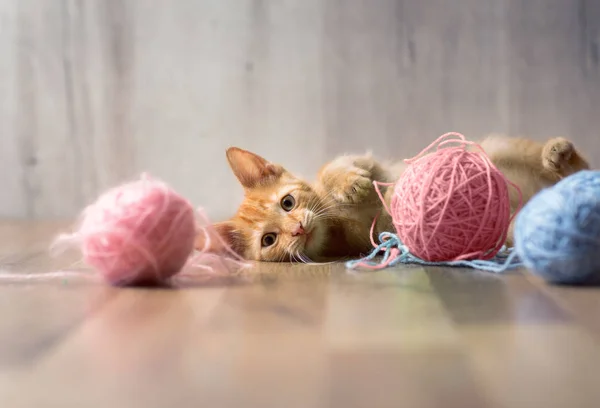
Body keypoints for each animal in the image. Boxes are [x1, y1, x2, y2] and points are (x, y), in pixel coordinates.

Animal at [198, 135, 592, 260]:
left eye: (288, 203)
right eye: (269, 240)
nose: (297, 229)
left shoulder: (369, 161)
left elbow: (334, 168)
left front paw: (352, 186)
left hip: (497, 147)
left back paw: (557, 154)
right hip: (513, 228)